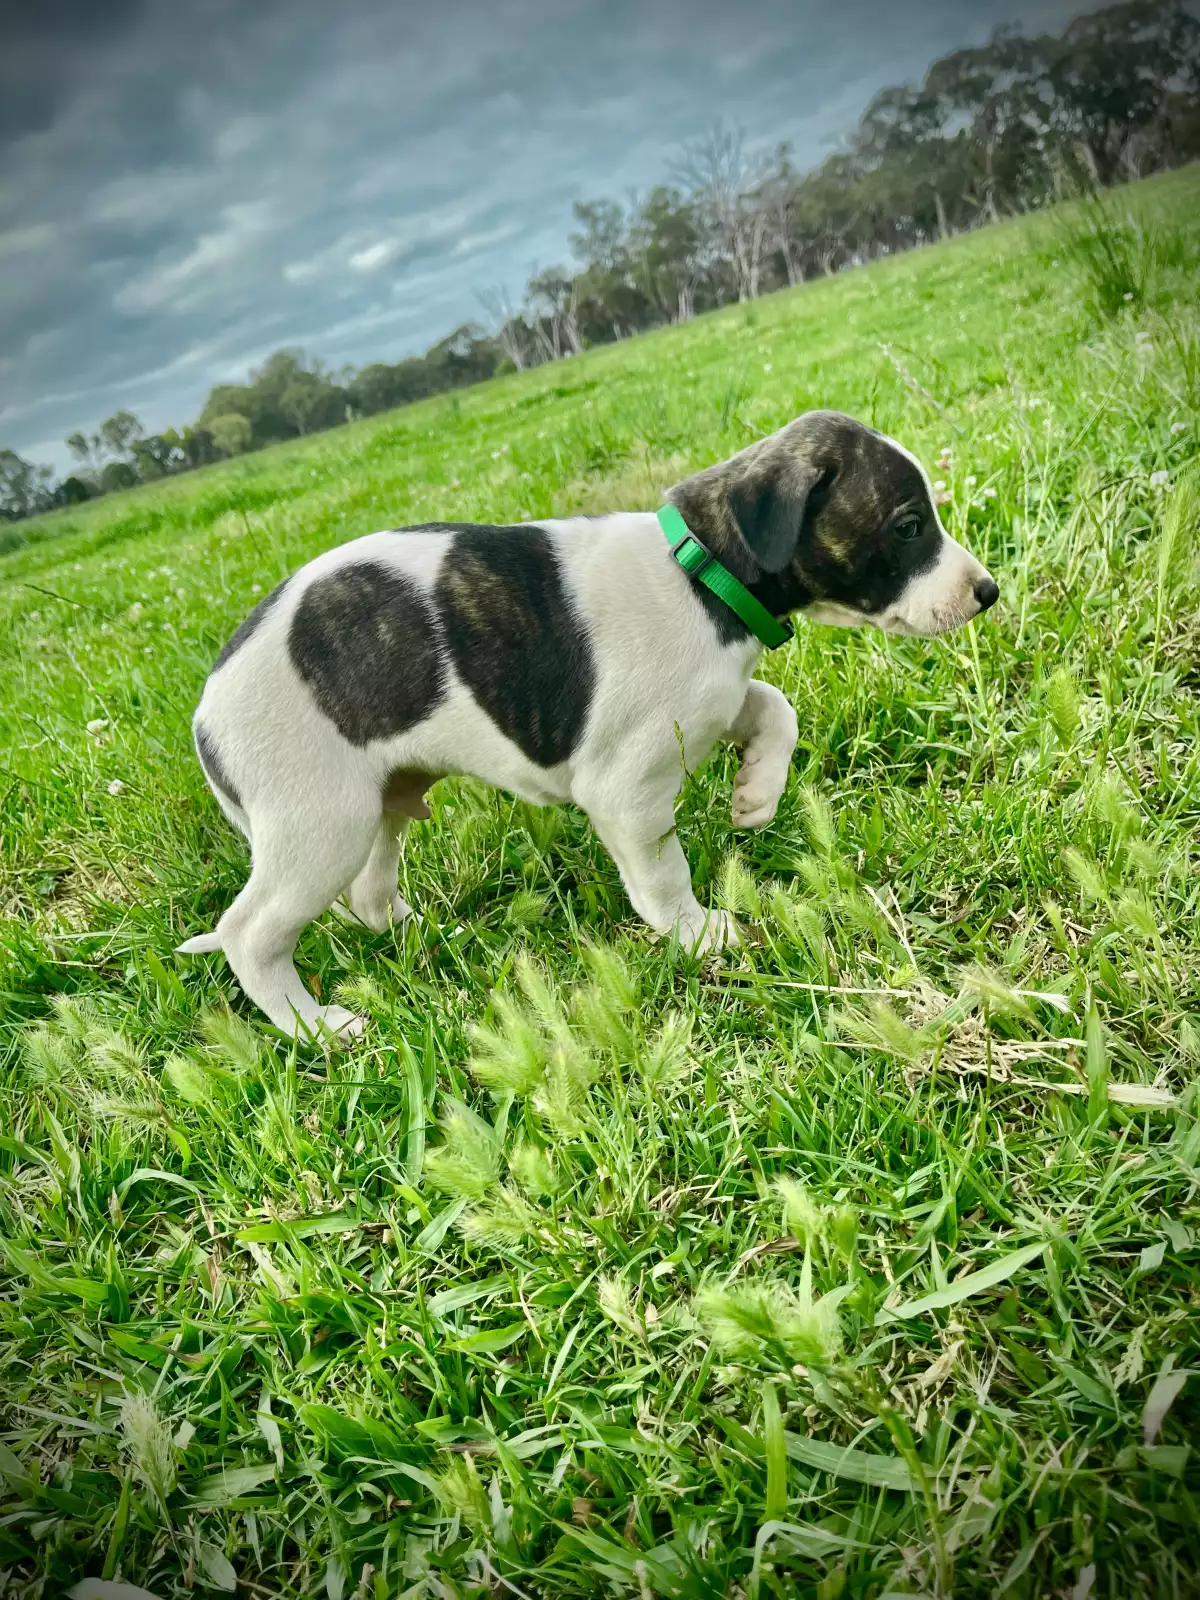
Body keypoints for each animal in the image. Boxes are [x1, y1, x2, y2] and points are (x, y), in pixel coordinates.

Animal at [179, 410, 998, 1038]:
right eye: (908, 526)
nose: (987, 591)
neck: (700, 573)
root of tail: (206, 711)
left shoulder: (713, 702)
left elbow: (775, 707)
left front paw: (756, 795)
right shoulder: (626, 789)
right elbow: (664, 873)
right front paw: (698, 934)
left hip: (381, 804)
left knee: (370, 899)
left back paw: (434, 939)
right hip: (323, 827)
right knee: (251, 935)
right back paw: (316, 1028)